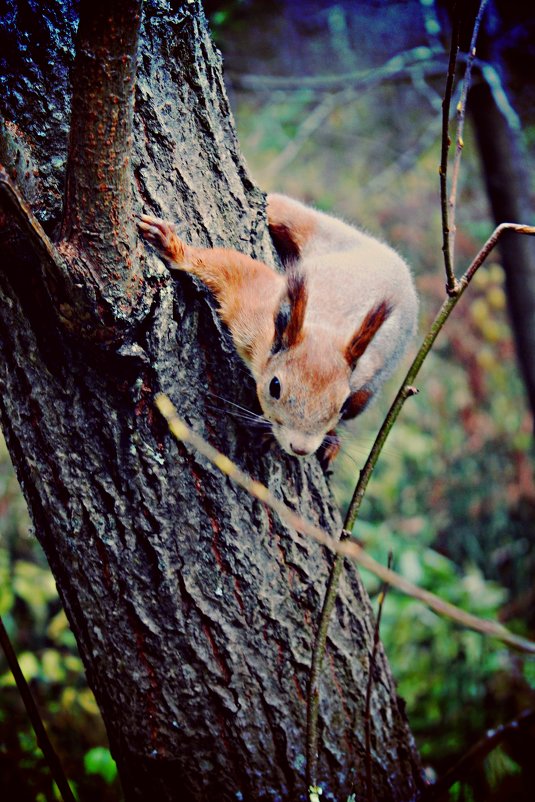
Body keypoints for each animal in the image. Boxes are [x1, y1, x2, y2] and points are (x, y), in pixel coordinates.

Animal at [139, 190, 418, 460]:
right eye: (275, 387)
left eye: (343, 404)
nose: (301, 448)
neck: (326, 330)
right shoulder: (254, 310)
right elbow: (230, 266)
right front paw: (172, 246)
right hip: (309, 225)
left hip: (368, 390)